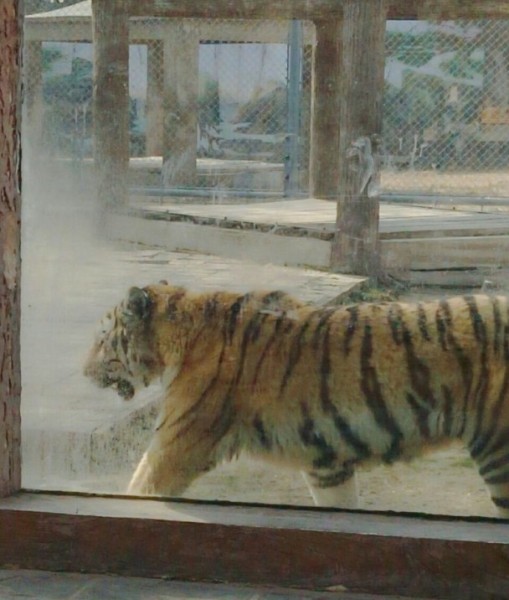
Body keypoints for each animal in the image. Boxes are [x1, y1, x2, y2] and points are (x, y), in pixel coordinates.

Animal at [85, 282, 508, 516]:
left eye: (102, 337)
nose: (83, 370)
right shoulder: (325, 465)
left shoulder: (176, 446)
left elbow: (138, 491)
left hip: (498, 453)